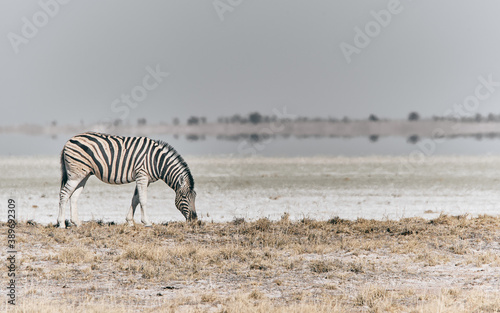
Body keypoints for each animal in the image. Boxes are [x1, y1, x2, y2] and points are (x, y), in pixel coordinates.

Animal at [57, 130, 196, 228]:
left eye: (195, 196)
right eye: (184, 197)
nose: (195, 219)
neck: (157, 161)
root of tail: (69, 140)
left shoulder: (144, 179)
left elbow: (135, 199)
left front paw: (130, 221)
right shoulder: (142, 176)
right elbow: (143, 200)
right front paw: (147, 222)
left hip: (83, 174)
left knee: (74, 196)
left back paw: (77, 223)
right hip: (75, 174)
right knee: (64, 194)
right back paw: (61, 224)